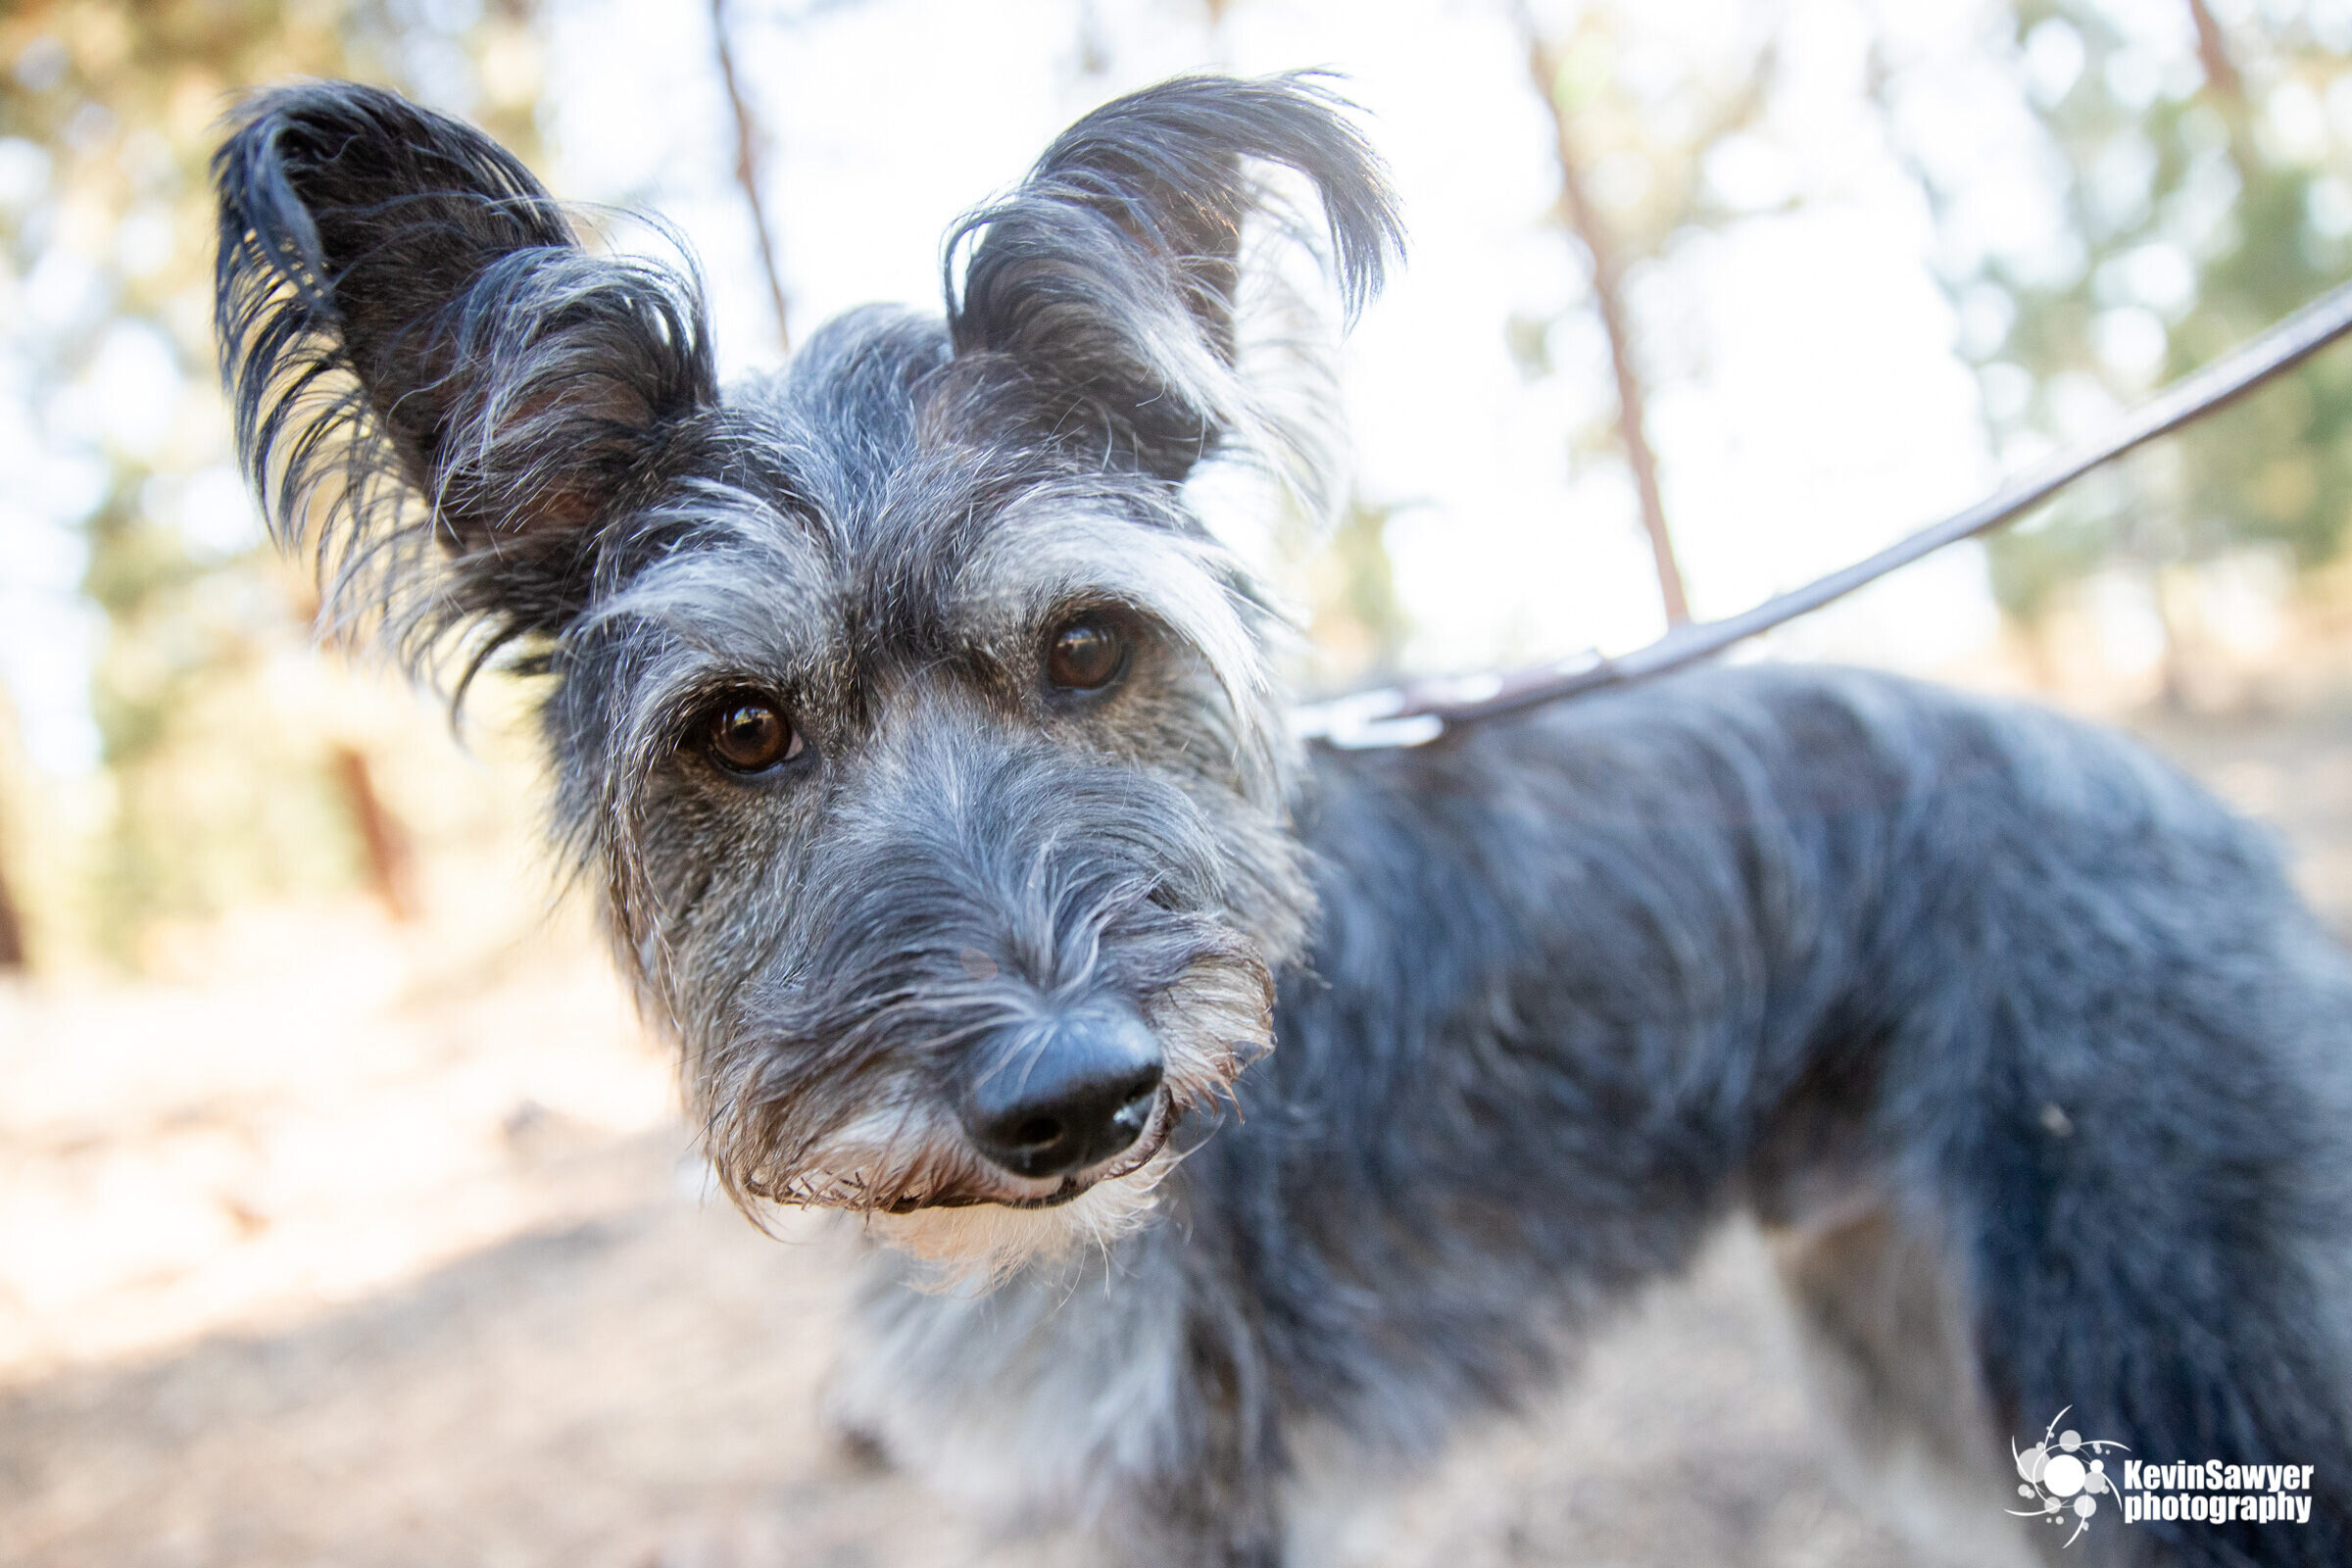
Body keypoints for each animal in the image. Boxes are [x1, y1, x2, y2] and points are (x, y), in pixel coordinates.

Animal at [220, 73, 2352, 1568]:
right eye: (739, 729)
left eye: (1088, 647)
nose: (1076, 1099)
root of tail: (2179, 802)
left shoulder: (1205, 1467)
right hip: (1912, 1332)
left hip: (2176, 1338)